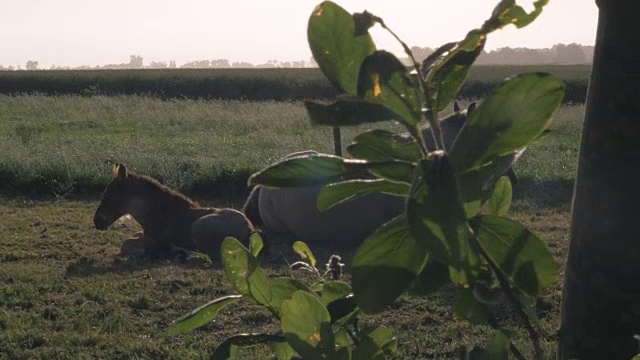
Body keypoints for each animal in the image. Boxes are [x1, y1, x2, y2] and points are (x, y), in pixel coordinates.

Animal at [95, 163, 255, 262]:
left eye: (113, 196)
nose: (97, 221)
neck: (161, 214)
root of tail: (250, 229)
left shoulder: (152, 242)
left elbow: (126, 244)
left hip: (199, 225)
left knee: (212, 255)